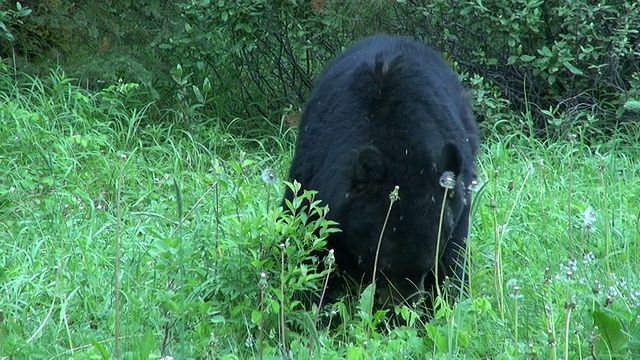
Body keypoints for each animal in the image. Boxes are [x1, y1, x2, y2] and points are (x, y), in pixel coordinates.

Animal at [282, 34, 478, 310]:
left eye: (426, 265)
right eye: (382, 263)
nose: (401, 308)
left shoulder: (457, 209)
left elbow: (452, 262)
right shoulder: (316, 174)